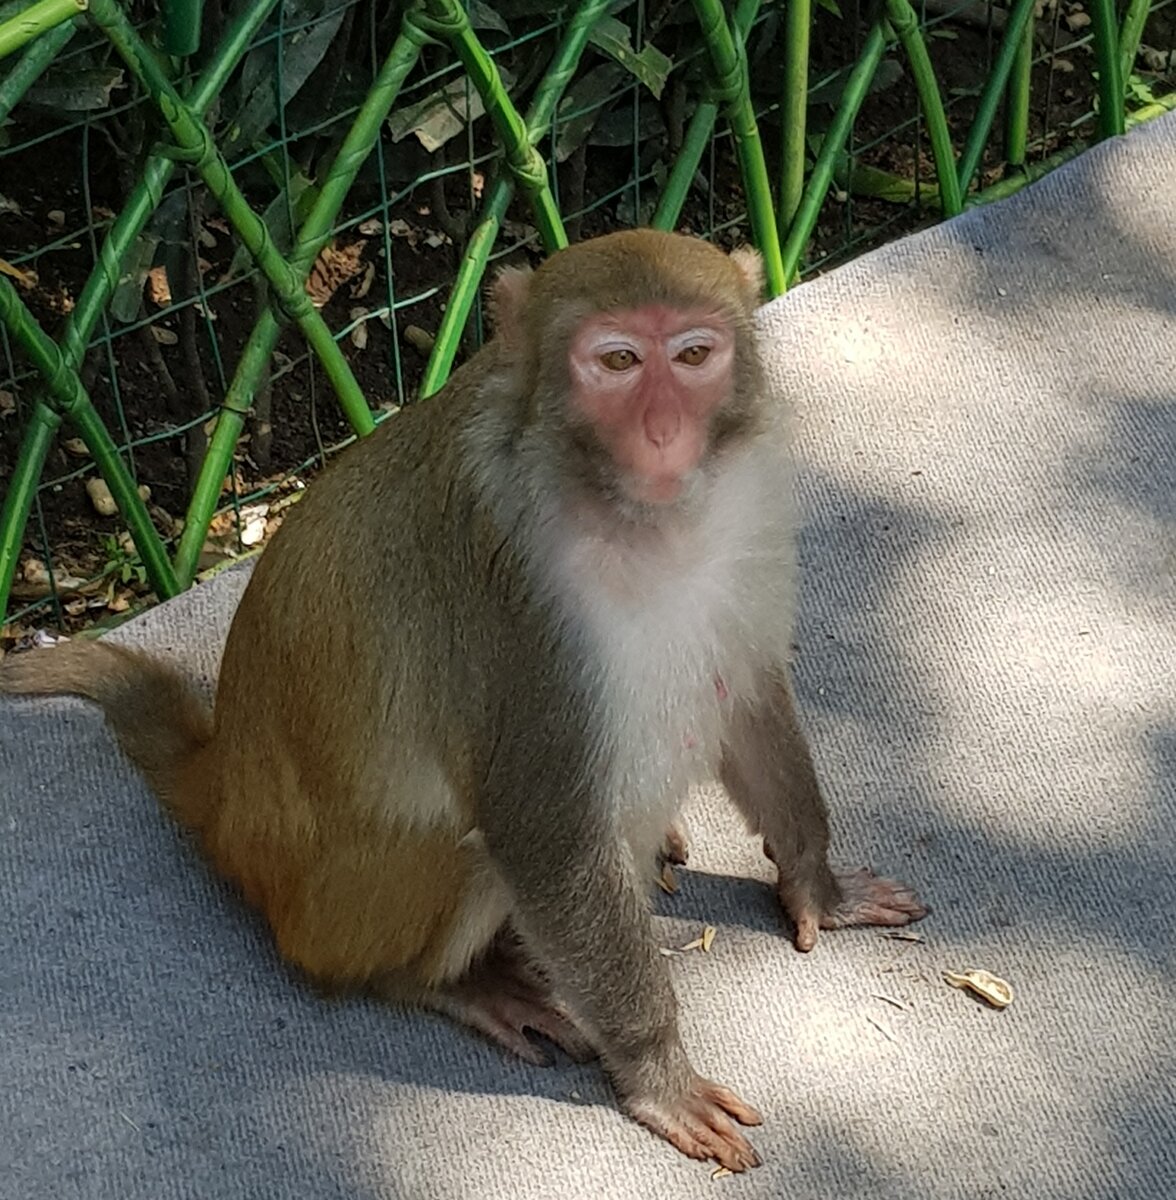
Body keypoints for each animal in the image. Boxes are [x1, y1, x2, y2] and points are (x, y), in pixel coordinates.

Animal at [0, 229, 926, 1173]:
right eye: (618, 361)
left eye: (694, 355)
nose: (664, 433)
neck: (633, 518)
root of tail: (223, 797)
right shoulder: (520, 608)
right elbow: (540, 832)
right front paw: (658, 1073)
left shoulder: (746, 515)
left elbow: (746, 694)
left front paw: (817, 885)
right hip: (342, 911)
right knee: (475, 850)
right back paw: (449, 983)